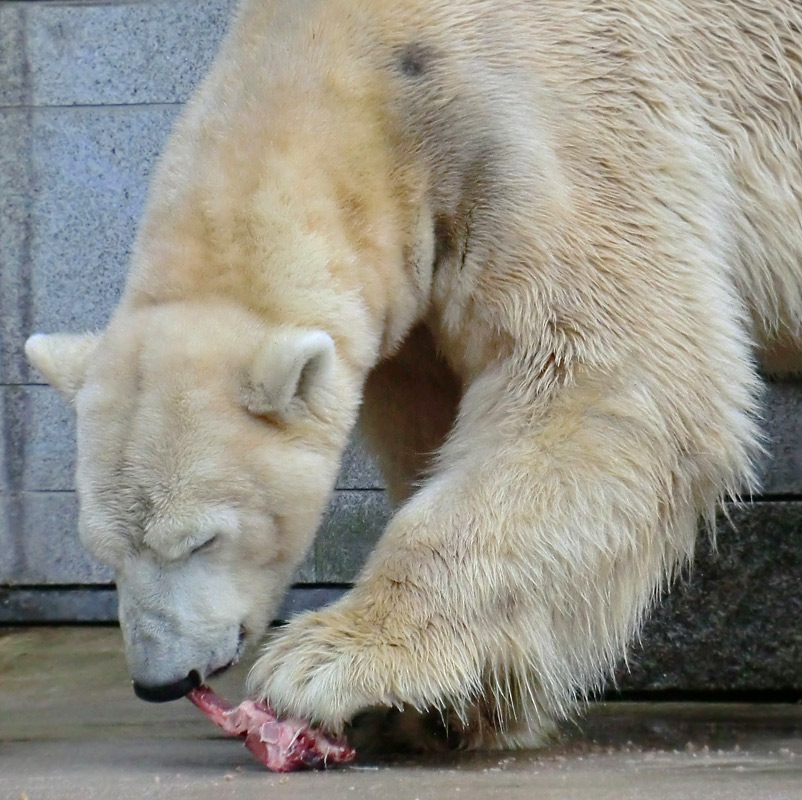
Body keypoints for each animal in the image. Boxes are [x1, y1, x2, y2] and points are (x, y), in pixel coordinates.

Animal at [25, 0, 800, 752]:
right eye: (103, 550)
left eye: (201, 540)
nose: (162, 680)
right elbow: (430, 419)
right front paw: (447, 707)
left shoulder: (547, 125)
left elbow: (604, 376)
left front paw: (332, 664)